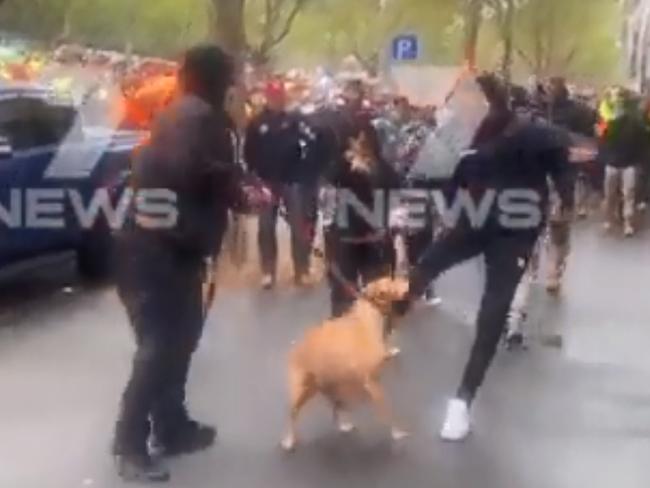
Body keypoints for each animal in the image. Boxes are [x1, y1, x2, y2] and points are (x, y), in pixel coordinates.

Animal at [280, 276, 410, 452]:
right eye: (391, 279)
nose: (407, 277)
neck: (367, 316)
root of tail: (295, 350)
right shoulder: (373, 383)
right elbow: (387, 411)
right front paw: (397, 432)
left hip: (328, 386)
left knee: (336, 407)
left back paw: (343, 423)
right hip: (301, 391)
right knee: (293, 414)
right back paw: (289, 440)